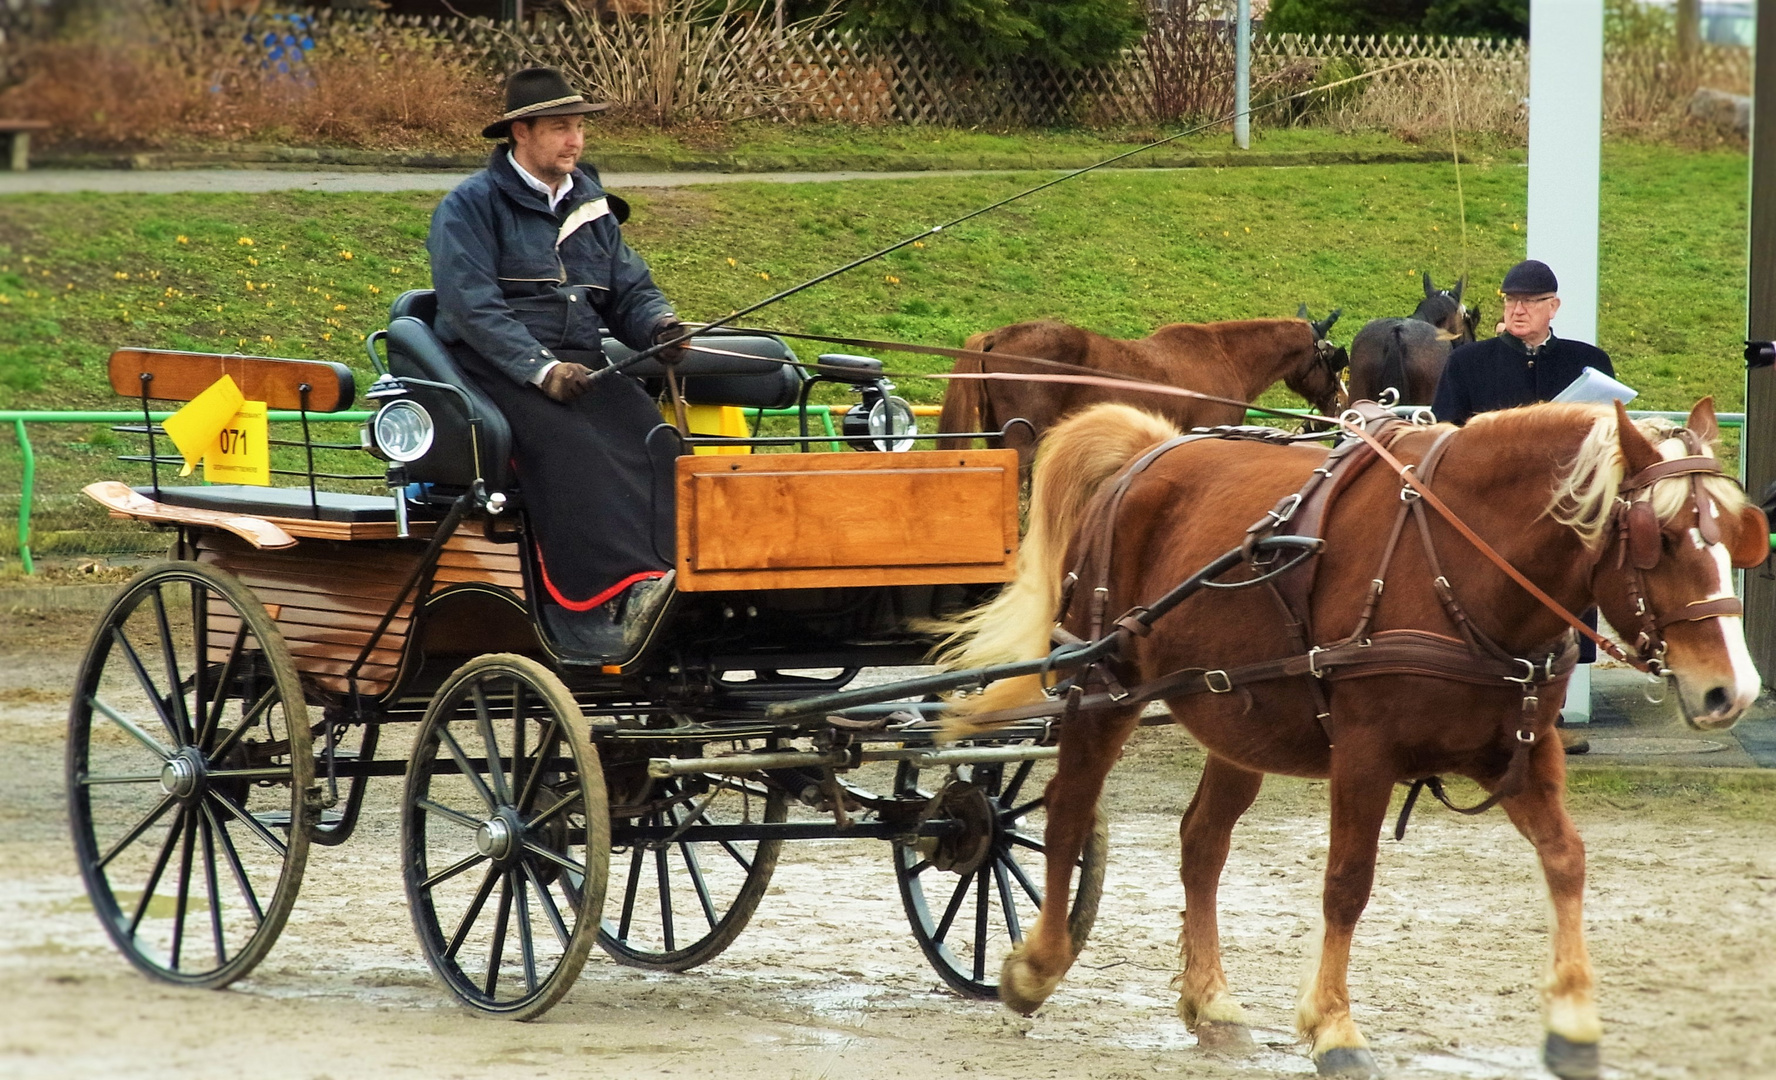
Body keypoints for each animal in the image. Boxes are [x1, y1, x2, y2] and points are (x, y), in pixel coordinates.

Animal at [937, 397, 1768, 1080]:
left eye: (1738, 537)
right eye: (1663, 538)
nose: (1732, 691)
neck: (1461, 562)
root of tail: (1150, 451)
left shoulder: (1522, 751)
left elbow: (1566, 860)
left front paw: (1572, 1020)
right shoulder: (1364, 754)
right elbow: (1347, 884)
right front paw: (1334, 1028)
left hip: (1236, 717)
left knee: (1201, 843)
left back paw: (1210, 1001)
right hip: (1101, 688)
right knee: (1068, 813)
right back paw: (1037, 966)